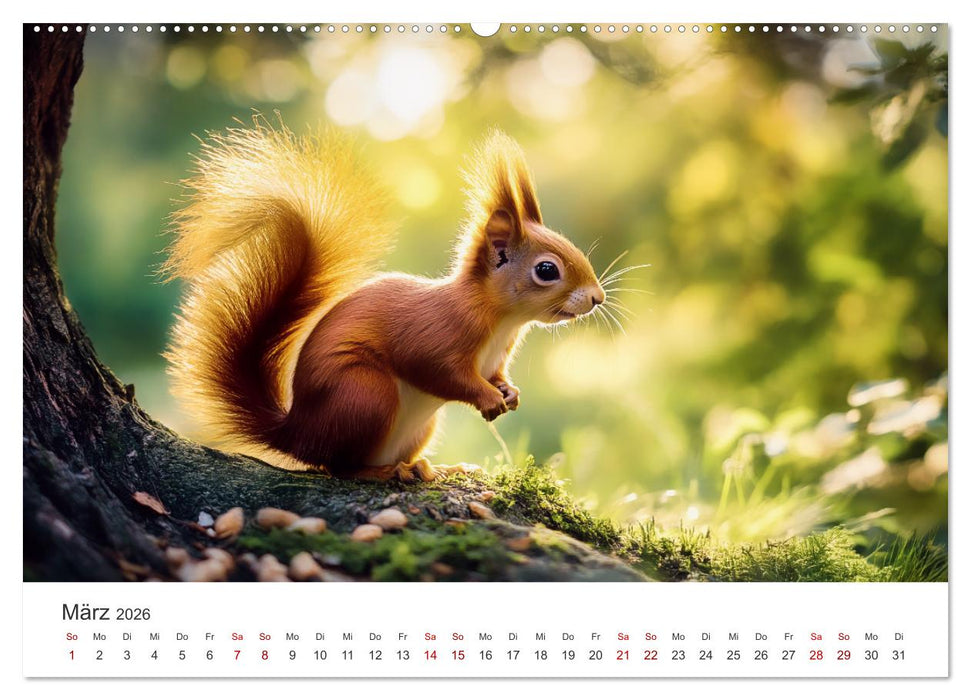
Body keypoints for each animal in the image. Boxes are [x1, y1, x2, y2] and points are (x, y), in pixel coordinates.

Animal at [165, 119, 605, 481]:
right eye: (546, 270)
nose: (597, 298)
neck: (500, 319)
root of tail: (297, 433)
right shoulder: (435, 334)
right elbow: (439, 371)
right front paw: (488, 398)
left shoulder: (495, 358)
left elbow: (496, 375)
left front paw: (509, 393)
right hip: (365, 394)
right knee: (339, 466)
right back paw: (385, 473)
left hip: (415, 425)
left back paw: (433, 467)